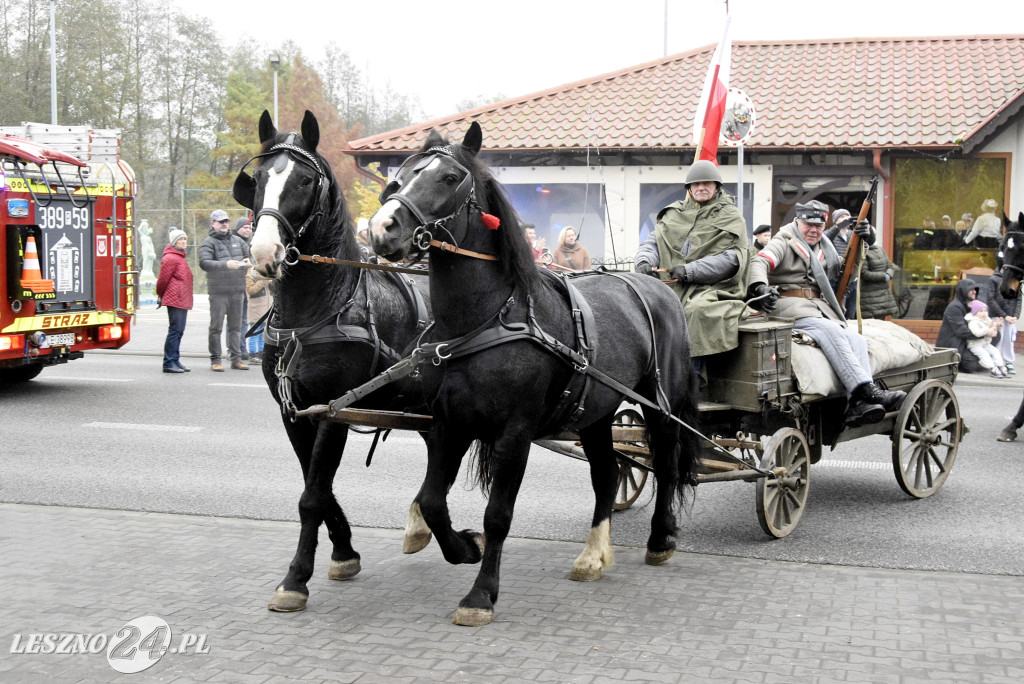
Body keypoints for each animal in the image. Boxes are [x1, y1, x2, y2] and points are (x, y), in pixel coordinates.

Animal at [234, 109, 434, 610]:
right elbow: (317, 488)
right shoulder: (294, 412)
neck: (320, 309)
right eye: (258, 178)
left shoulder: (332, 410)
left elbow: (313, 494)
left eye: (305, 180)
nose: (263, 253)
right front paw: (344, 551)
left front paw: (295, 579)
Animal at [364, 122, 700, 626]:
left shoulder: (514, 434)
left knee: (664, 462)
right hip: (596, 413)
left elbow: (498, 515)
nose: (382, 228)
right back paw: (592, 556)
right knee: (607, 475)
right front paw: (464, 547)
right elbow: (432, 500)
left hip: (659, 406)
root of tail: (656, 284)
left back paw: (660, 539)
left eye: (449, 178)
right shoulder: (449, 425)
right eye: (399, 176)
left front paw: (480, 594)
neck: (488, 320)